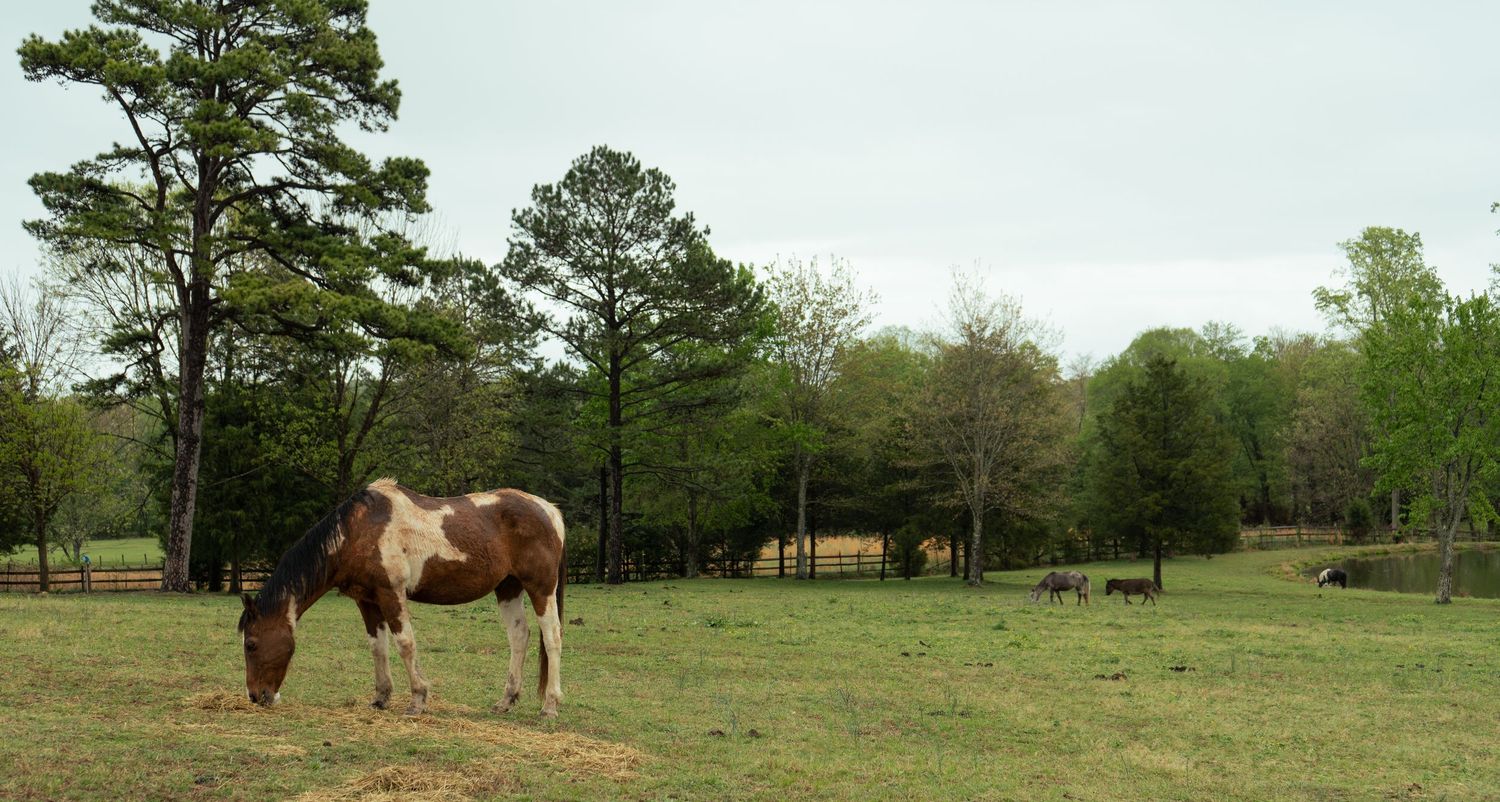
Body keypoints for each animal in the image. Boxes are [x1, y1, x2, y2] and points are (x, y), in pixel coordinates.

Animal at [237, 478, 567, 717]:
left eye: (251, 644)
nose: (255, 696)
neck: (356, 532)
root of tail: (550, 511)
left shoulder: (390, 593)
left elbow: (405, 644)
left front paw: (417, 700)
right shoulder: (366, 600)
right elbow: (378, 647)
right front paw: (380, 697)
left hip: (541, 588)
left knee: (552, 637)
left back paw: (550, 705)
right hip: (508, 588)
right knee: (519, 636)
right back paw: (506, 700)